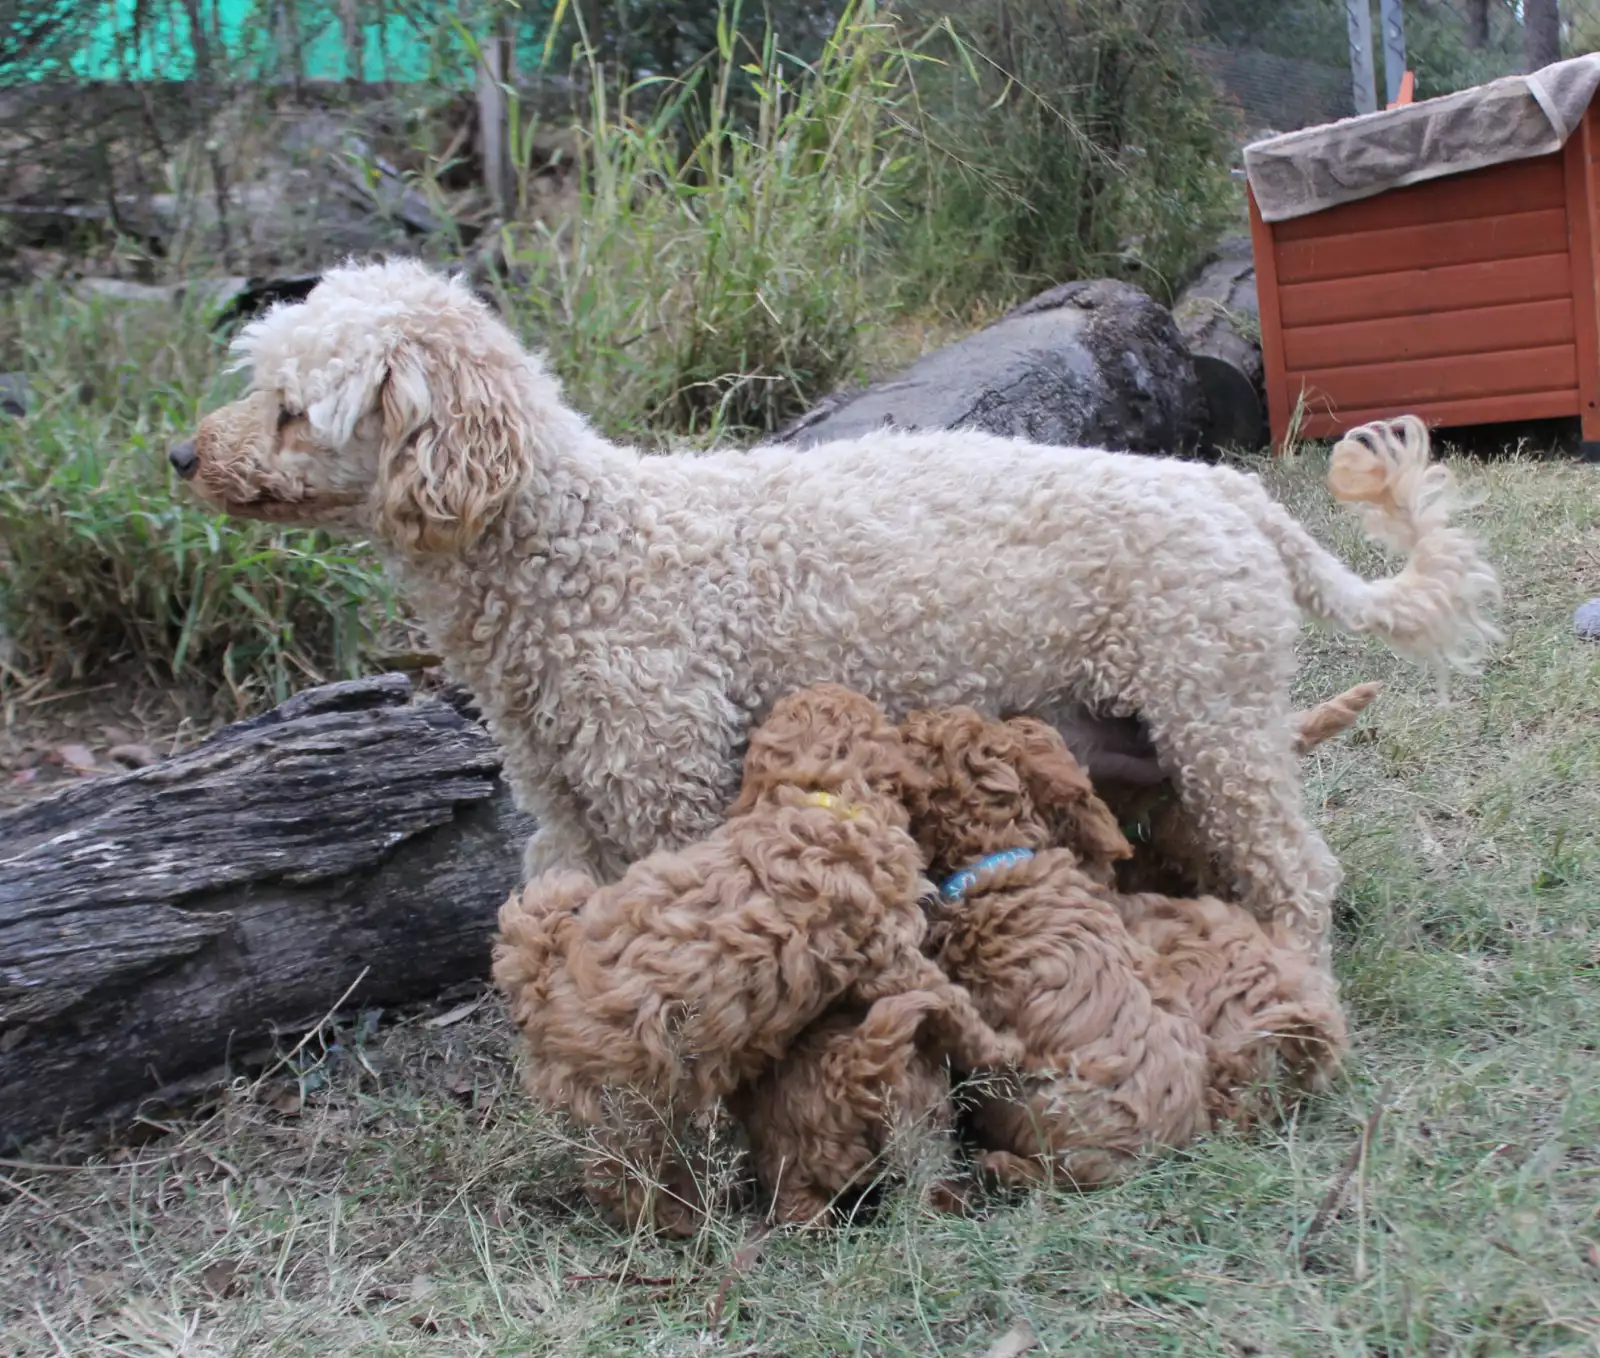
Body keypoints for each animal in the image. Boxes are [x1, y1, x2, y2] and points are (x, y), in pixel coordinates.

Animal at [174, 257, 1498, 962]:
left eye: (291, 407)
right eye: (262, 386)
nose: (183, 456)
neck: (576, 546)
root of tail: (1235, 493)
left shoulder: (663, 776)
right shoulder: (563, 795)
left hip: (1214, 715)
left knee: (1298, 868)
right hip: (1152, 737)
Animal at [491, 684, 1018, 1234]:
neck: (816, 796)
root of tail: (538, 968)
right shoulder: (890, 951)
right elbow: (951, 1001)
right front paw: (1000, 1047)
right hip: (626, 1103)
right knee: (623, 1174)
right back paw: (677, 1216)